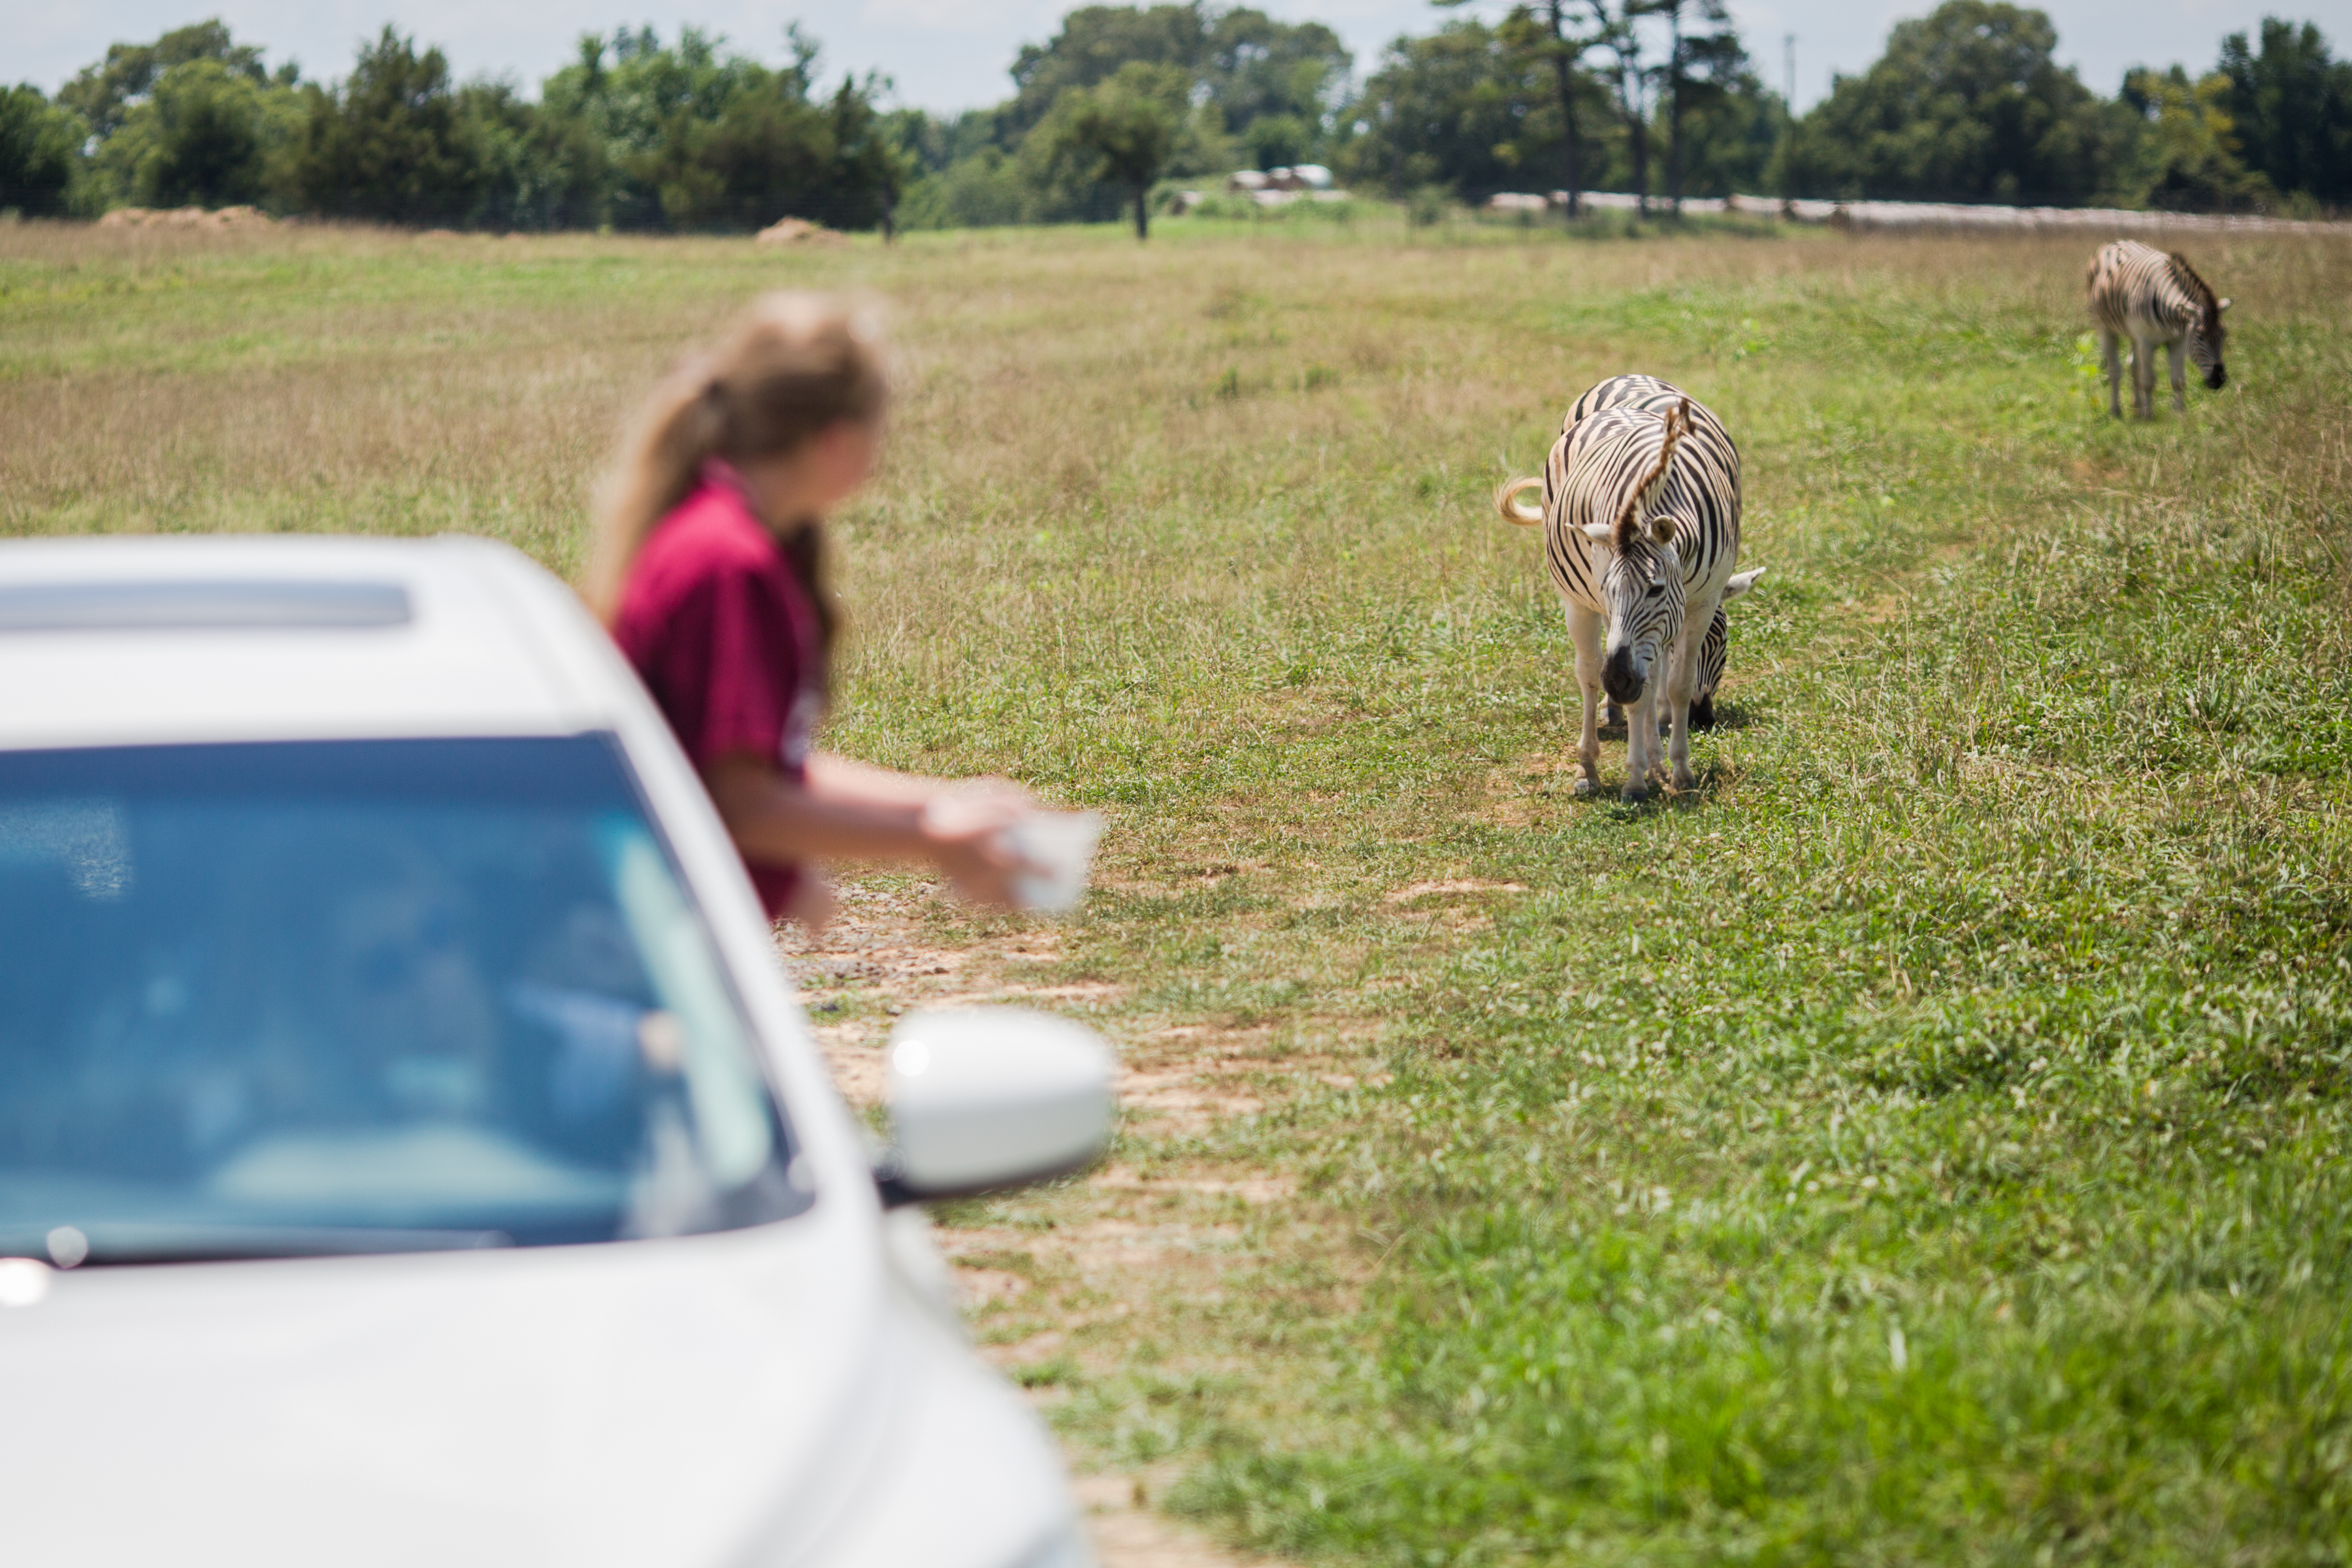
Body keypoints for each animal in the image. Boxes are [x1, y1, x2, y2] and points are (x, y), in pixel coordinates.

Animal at [1498, 374, 1759, 800]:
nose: (1703, 718)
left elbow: (1675, 685)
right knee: (1589, 673)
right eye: (1609, 590)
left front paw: (1677, 768)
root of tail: (1626, 379)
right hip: (1578, 601)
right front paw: (1638, 775)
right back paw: (1590, 765)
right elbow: (1640, 688)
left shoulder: (1698, 606)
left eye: (1721, 640)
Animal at [2087, 240, 2231, 419]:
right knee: (2114, 370)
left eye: (2224, 335)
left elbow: (2178, 380)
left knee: (2133, 366)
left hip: (2133, 334)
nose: (2218, 380)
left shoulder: (2178, 341)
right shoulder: (2146, 342)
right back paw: (2116, 412)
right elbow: (2148, 381)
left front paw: (2180, 414)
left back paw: (2137, 407)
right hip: (2103, 327)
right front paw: (2148, 416)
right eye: (2200, 336)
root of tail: (2115, 242)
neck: (2172, 321)